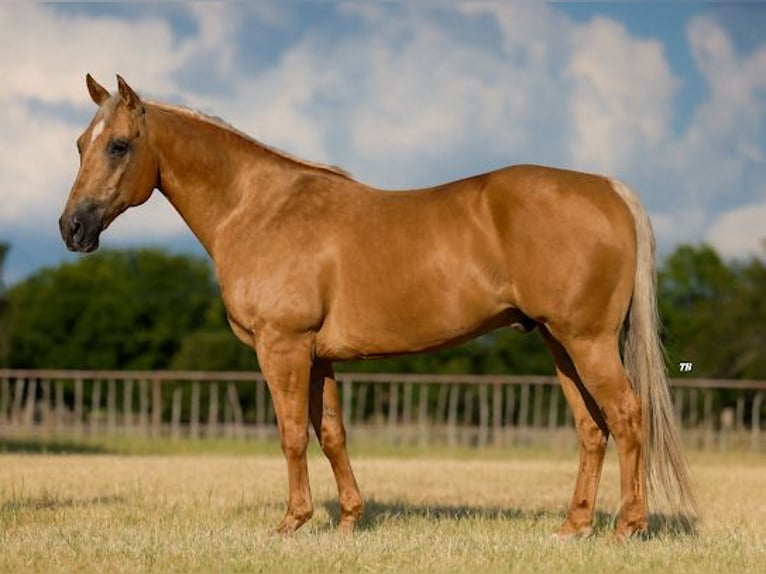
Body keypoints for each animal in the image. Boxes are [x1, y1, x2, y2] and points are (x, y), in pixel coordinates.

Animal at [60, 75, 696, 540]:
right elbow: (332, 433)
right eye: (80, 145)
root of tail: (609, 189)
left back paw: (627, 527)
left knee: (627, 416)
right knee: (592, 428)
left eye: (118, 145)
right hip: (558, 342)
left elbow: (292, 434)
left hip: (586, 341)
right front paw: (348, 520)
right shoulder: (319, 357)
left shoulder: (283, 347)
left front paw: (292, 523)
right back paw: (573, 527)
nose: (72, 229)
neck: (258, 207)